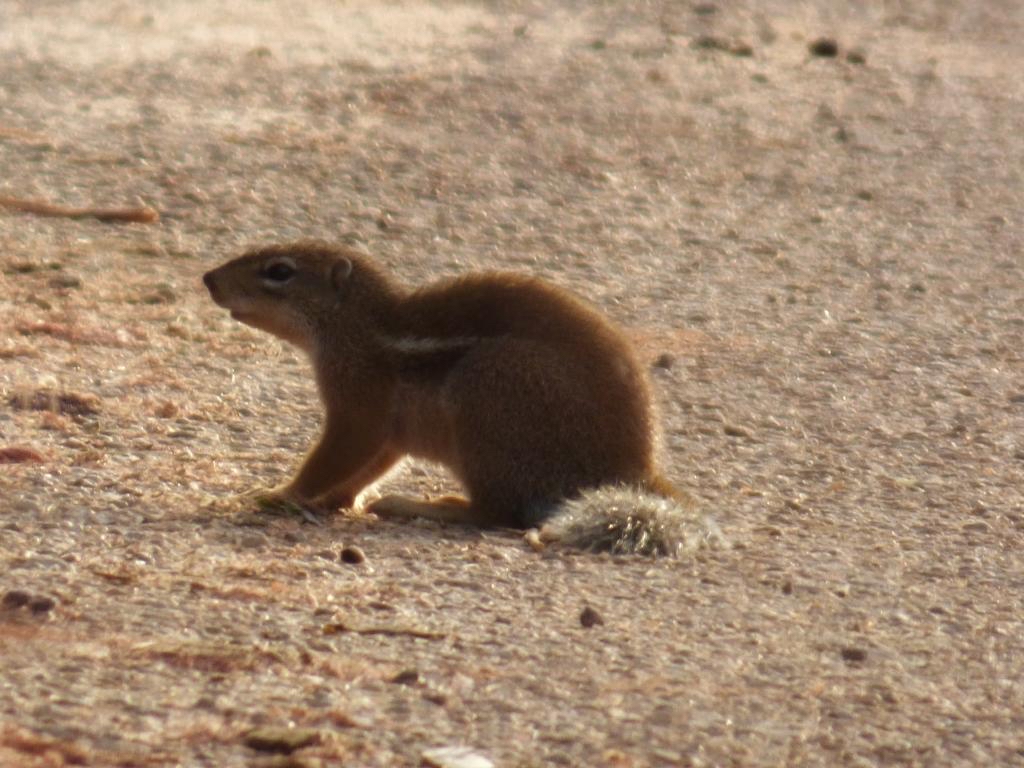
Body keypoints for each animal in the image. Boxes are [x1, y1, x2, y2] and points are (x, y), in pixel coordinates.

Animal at [203, 242, 718, 556]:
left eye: (279, 271)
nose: (208, 278)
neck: (358, 327)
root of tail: (636, 472)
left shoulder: (358, 405)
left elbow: (334, 456)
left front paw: (280, 494)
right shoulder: (388, 432)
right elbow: (369, 465)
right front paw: (333, 501)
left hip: (484, 390)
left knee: (494, 514)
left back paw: (424, 504)